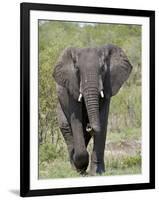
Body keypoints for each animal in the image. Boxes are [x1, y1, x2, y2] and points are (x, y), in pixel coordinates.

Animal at [52, 44, 132, 175]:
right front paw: (81, 168)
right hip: (59, 104)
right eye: (77, 69)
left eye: (103, 69)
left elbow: (103, 120)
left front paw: (96, 173)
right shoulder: (71, 85)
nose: (89, 126)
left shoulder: (108, 85)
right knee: (66, 128)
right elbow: (76, 120)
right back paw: (75, 168)